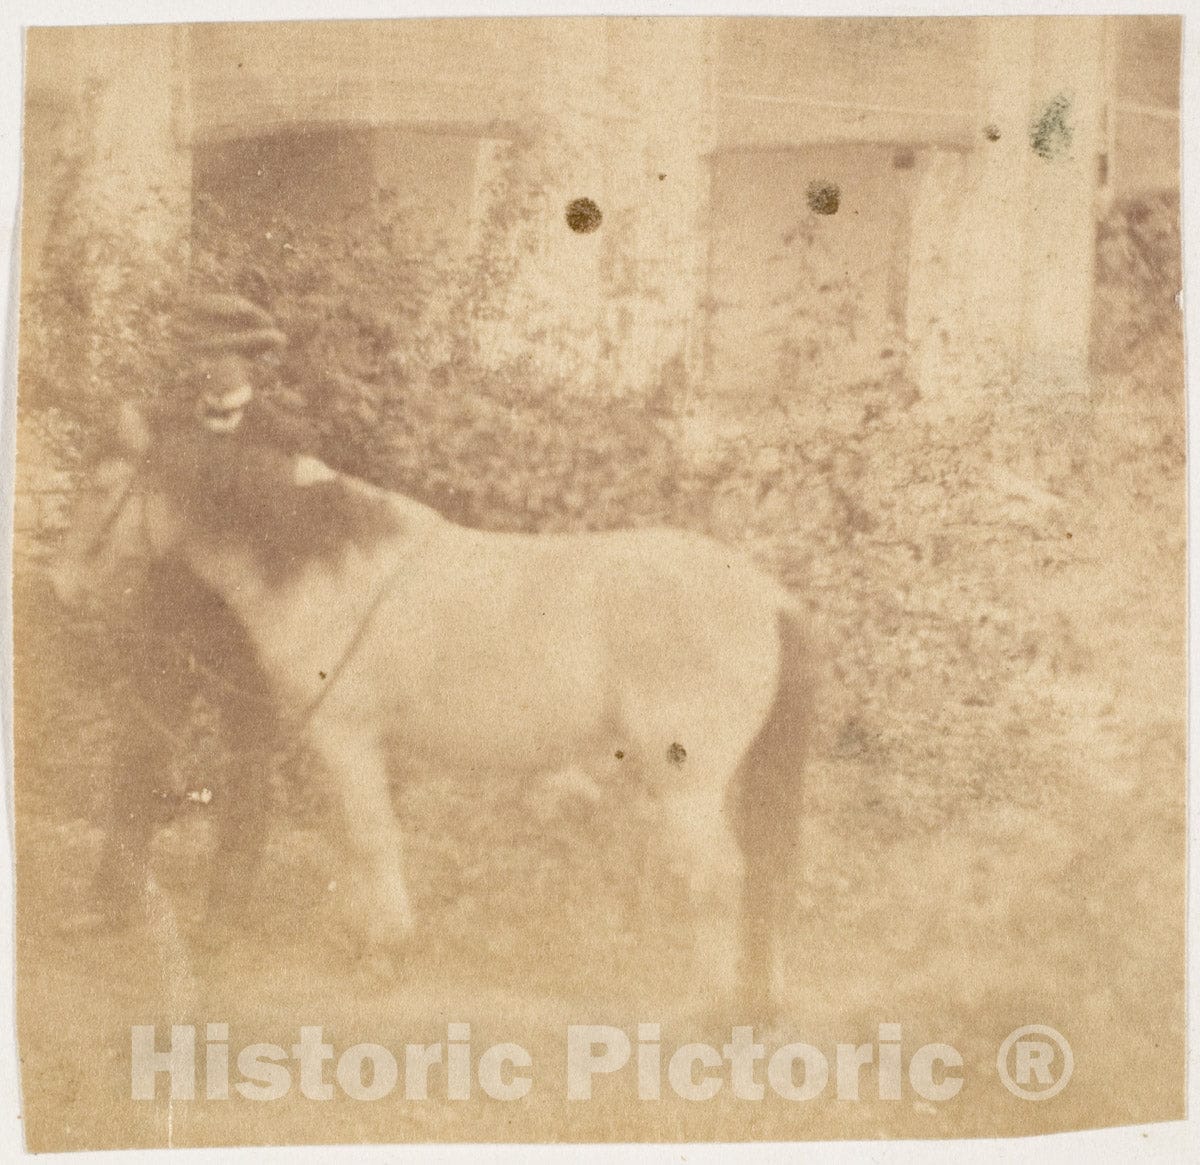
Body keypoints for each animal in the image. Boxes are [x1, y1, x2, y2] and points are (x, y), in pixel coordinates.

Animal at [47, 400, 816, 1013]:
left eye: (100, 484)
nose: (61, 586)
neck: (331, 569)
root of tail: (768, 595)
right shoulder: (347, 746)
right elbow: (357, 839)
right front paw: (360, 938)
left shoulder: (348, 737)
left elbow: (370, 837)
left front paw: (385, 949)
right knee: (764, 875)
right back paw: (762, 1000)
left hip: (687, 779)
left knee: (722, 877)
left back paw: (706, 1005)